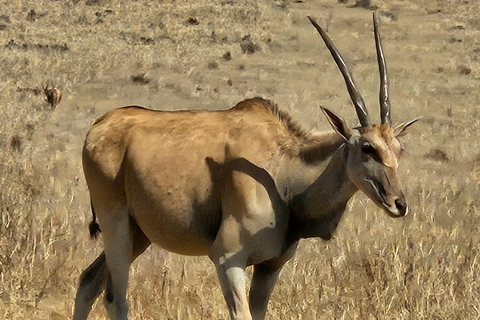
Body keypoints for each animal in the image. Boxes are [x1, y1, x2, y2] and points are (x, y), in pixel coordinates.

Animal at [73, 12, 418, 320]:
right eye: (367, 148)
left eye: (399, 149)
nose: (399, 204)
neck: (284, 171)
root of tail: (100, 125)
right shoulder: (229, 260)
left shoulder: (270, 266)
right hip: (116, 224)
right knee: (115, 298)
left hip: (138, 233)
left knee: (88, 281)